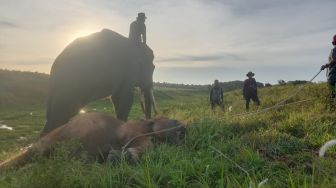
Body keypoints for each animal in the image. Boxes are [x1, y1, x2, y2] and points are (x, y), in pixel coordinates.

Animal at [0, 112, 186, 171]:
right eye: (174, 121)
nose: (184, 129)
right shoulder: (130, 133)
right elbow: (146, 144)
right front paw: (126, 155)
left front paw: (119, 156)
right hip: (43, 147)